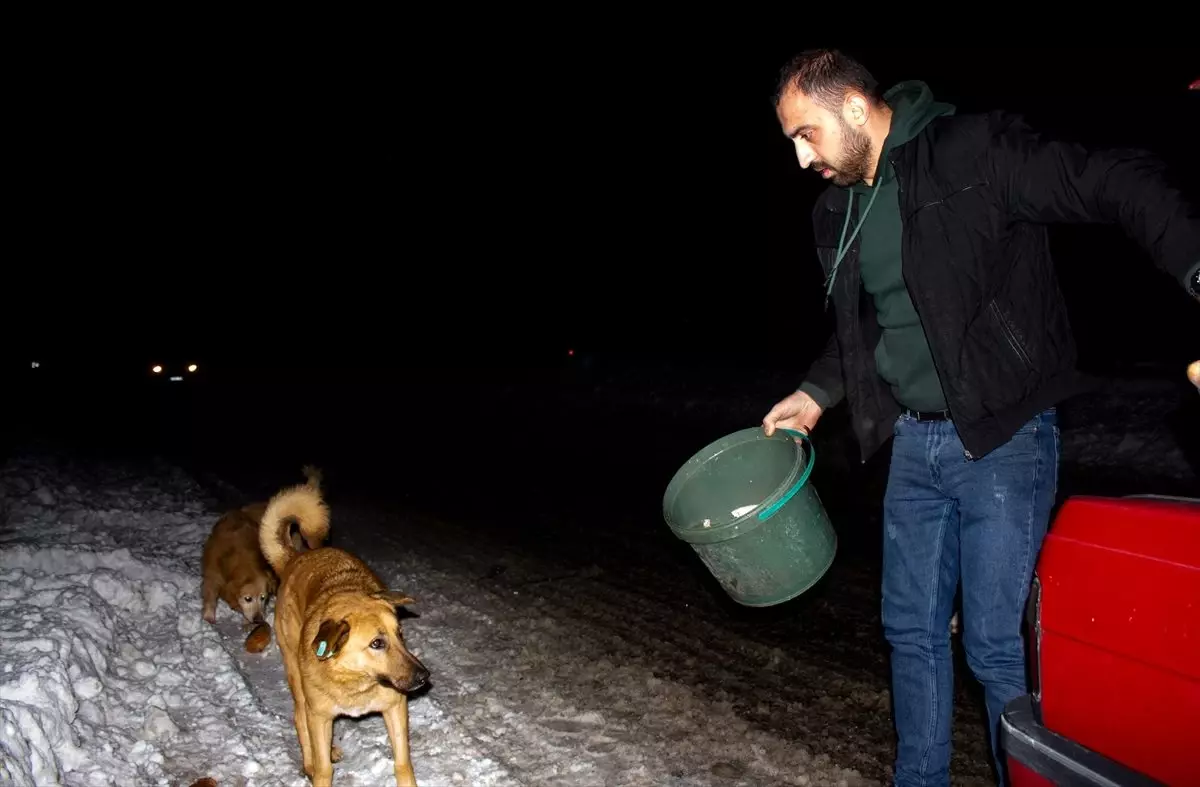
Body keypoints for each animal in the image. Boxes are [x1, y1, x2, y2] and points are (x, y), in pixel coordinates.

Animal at [260, 479, 429, 782]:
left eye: (400, 634)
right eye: (376, 643)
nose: (424, 677)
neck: (355, 680)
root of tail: (297, 556)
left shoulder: (395, 707)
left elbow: (403, 763)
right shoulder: (319, 716)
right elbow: (324, 770)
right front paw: (318, 767)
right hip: (296, 678)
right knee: (300, 717)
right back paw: (310, 762)